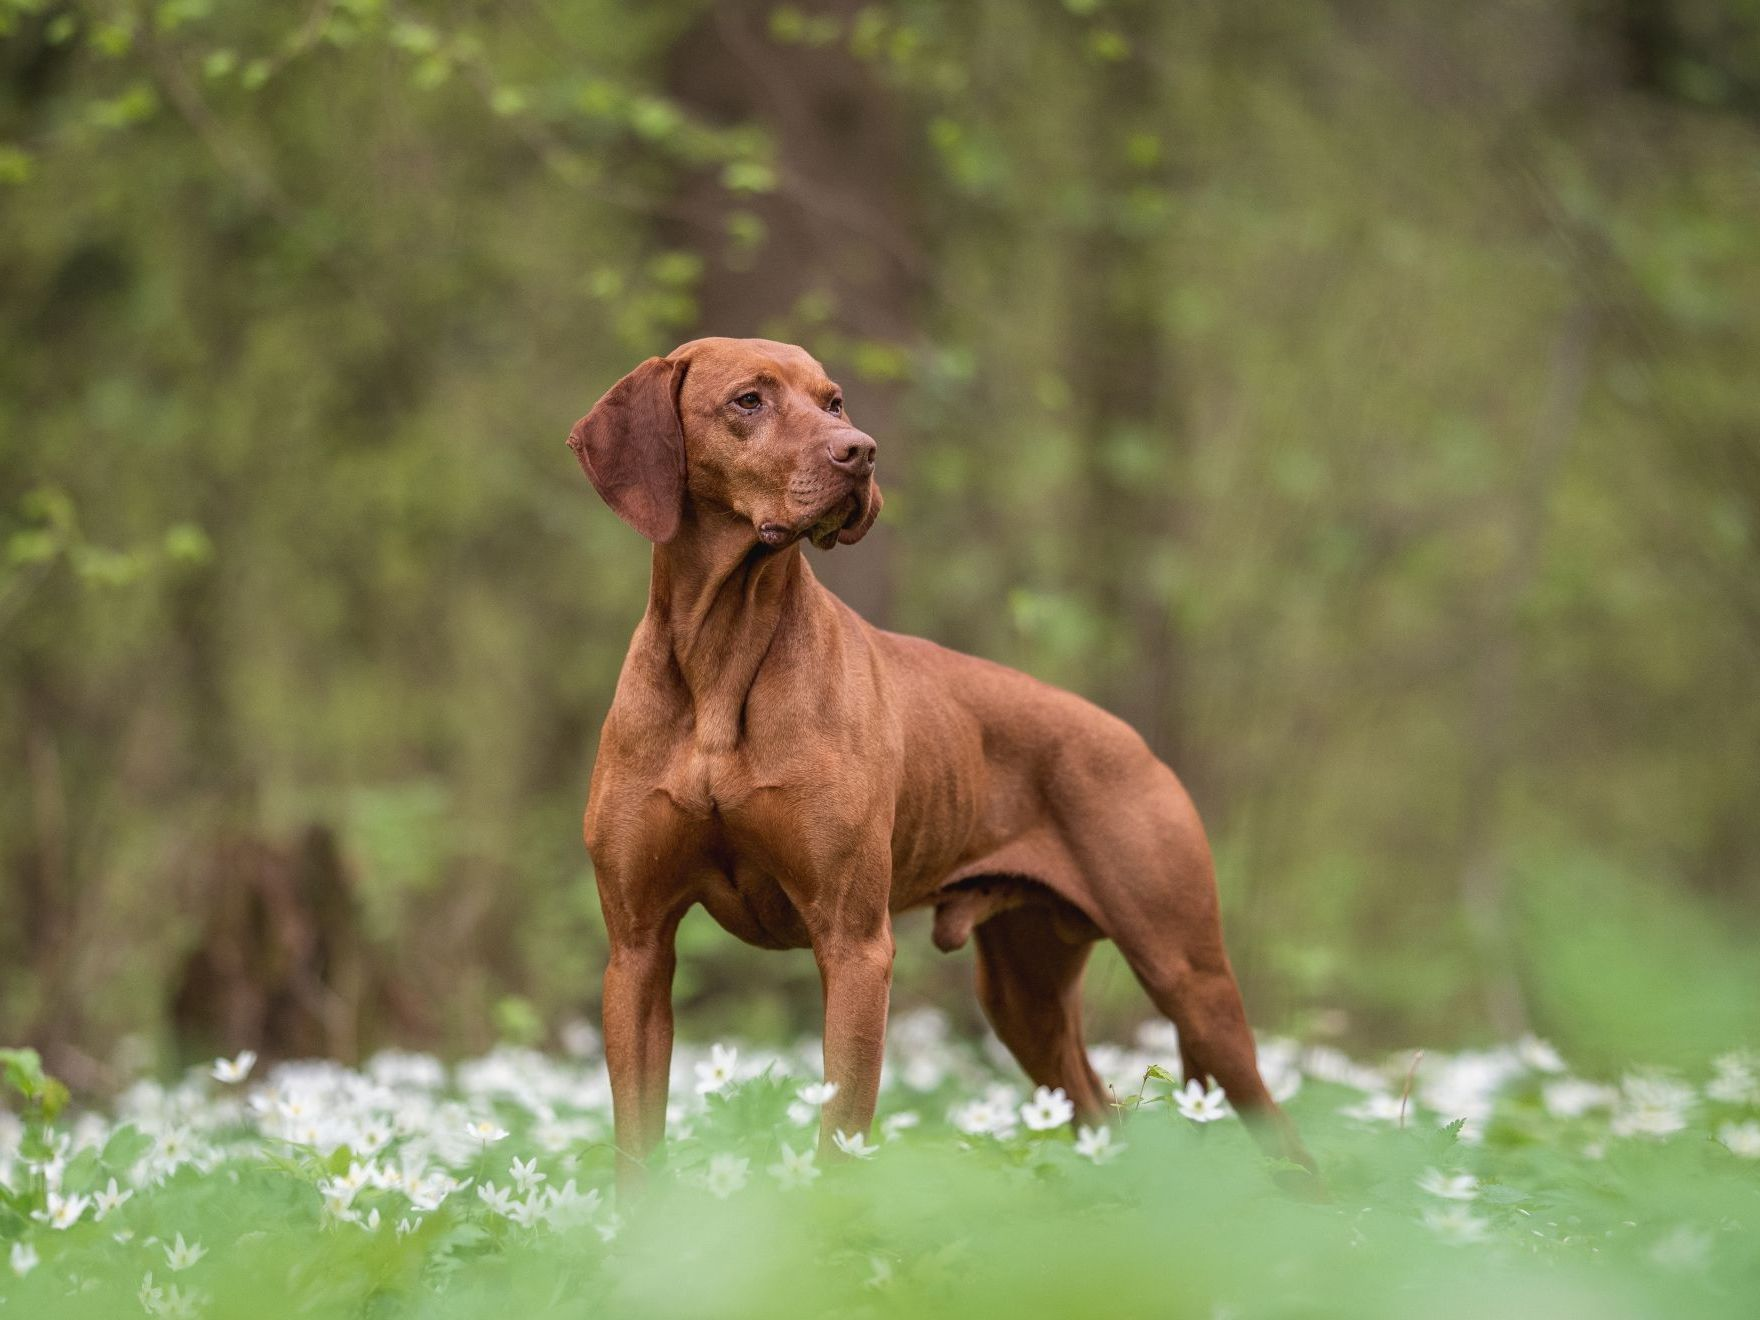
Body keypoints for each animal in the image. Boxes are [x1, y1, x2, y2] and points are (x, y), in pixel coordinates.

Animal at [570, 337, 1316, 1189]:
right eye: (748, 401)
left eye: (833, 402)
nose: (860, 452)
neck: (721, 659)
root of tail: (1136, 743)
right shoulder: (637, 950)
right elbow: (637, 1147)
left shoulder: (855, 944)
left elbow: (839, 1136)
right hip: (1024, 995)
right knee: (1101, 1112)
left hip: (1190, 979)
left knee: (1286, 1139)